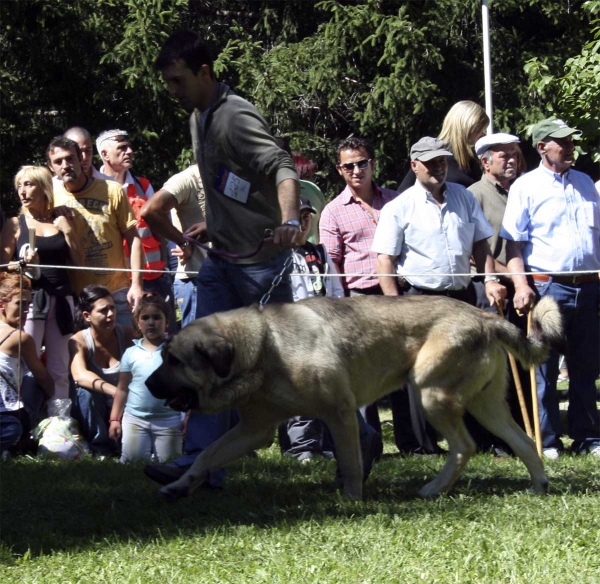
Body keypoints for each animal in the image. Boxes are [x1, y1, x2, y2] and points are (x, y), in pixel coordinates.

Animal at [145, 296, 564, 502]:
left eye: (174, 360)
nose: (148, 383)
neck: (265, 345)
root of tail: (485, 316)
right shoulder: (253, 430)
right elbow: (206, 455)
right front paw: (179, 486)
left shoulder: (339, 413)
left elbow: (349, 461)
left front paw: (350, 499)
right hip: (486, 406)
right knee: (524, 442)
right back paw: (539, 487)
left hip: (428, 393)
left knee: (464, 446)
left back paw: (433, 489)